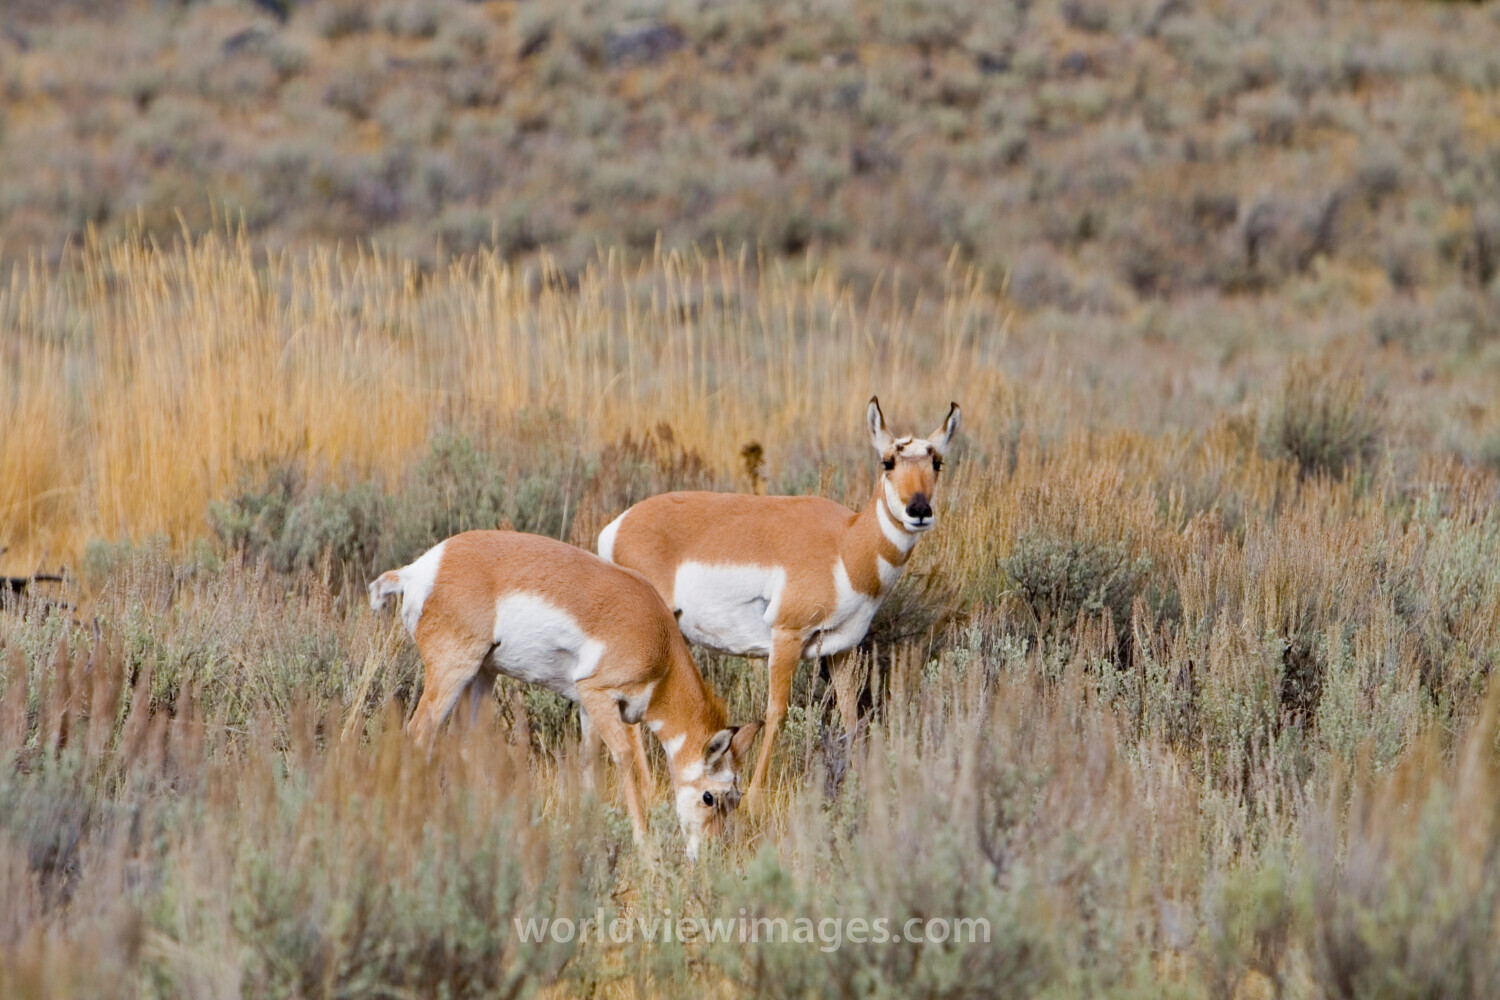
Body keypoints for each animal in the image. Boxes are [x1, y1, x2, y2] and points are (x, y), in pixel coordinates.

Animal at [368, 530, 761, 858]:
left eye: (735, 798)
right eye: (709, 796)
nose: (707, 855)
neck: (659, 644)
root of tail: (421, 569)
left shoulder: (589, 709)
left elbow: (589, 760)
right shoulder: (598, 695)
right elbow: (624, 758)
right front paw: (643, 844)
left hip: (481, 676)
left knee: (466, 743)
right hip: (454, 672)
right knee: (420, 733)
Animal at [598, 396, 961, 798]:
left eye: (937, 462)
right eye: (888, 461)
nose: (919, 510)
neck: (846, 543)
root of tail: (617, 526)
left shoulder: (842, 649)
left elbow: (851, 712)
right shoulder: (787, 637)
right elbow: (776, 711)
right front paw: (755, 792)